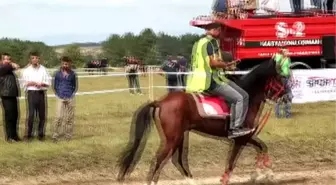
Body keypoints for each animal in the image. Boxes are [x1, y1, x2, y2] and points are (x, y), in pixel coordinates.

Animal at [117, 59, 284, 185]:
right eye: (279, 78)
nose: (285, 96)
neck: (247, 98)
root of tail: (160, 102)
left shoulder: (246, 137)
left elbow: (262, 148)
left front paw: (264, 173)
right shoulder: (241, 138)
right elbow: (233, 162)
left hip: (180, 136)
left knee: (178, 160)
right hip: (173, 138)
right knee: (159, 160)